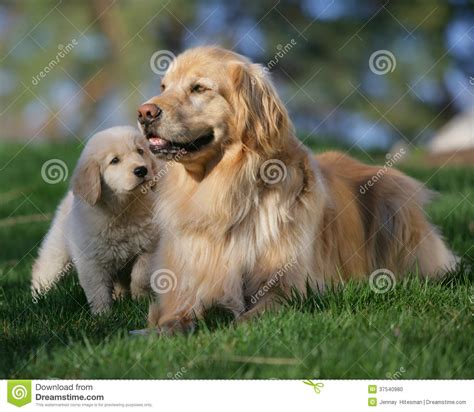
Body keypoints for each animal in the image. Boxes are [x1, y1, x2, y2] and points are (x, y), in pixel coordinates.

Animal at [32, 125, 161, 312]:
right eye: (114, 160)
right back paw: (38, 296)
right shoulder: (90, 260)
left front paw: (141, 301)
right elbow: (97, 289)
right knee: (44, 268)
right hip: (57, 249)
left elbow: (140, 276)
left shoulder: (148, 248)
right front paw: (103, 313)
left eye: (140, 151)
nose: (142, 170)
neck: (123, 210)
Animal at [138, 45, 460, 334]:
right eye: (164, 86)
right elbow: (176, 312)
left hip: (394, 198)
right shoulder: (186, 283)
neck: (224, 191)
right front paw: (167, 328)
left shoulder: (287, 284)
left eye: (198, 88)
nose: (144, 112)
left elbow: (255, 313)